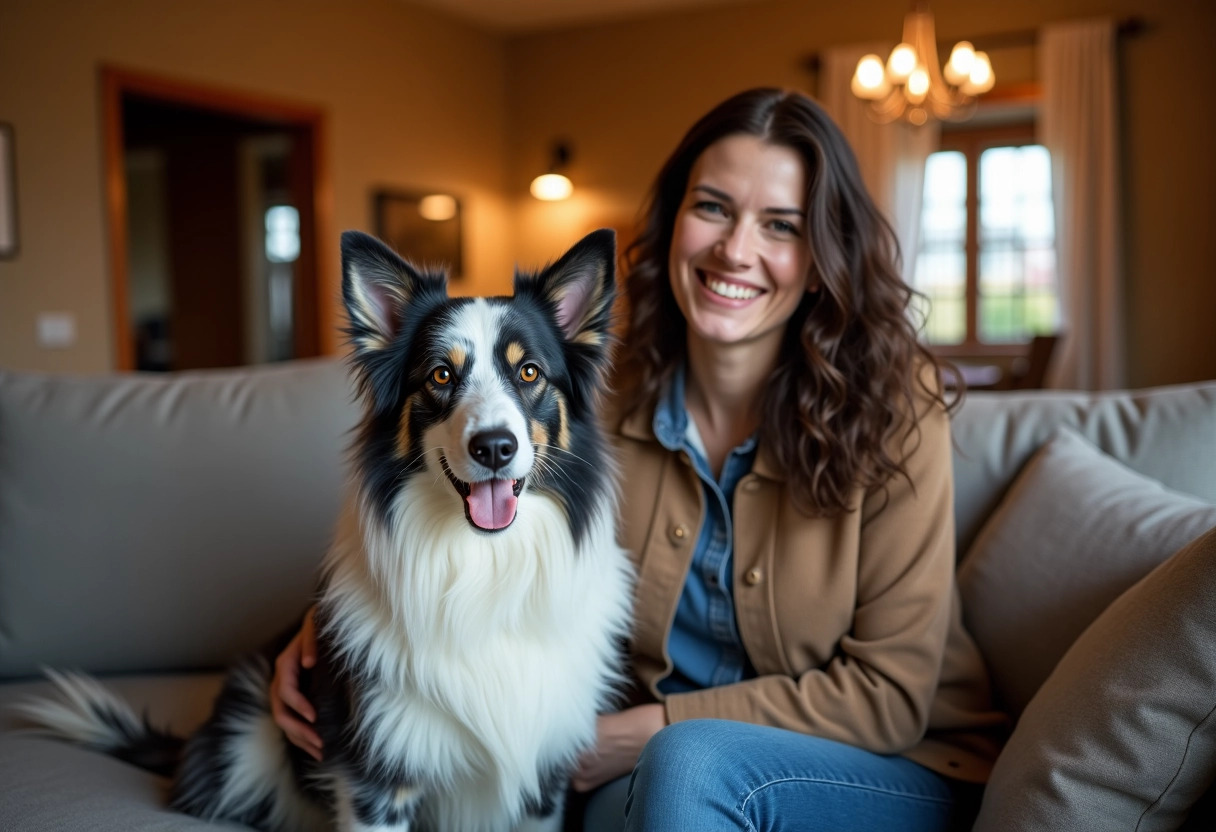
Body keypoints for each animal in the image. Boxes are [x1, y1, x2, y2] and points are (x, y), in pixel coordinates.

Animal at [21, 228, 637, 832]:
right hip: (245, 740)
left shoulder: (543, 783)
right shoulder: (378, 779)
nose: (494, 447)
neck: (484, 566)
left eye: (529, 372)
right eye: (441, 375)